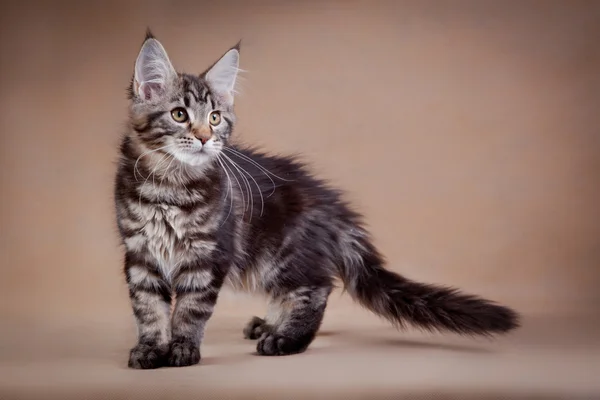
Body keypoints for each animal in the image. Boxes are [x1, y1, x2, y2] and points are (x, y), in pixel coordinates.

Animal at [115, 30, 516, 368]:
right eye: (179, 114)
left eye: (215, 118)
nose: (203, 137)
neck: (169, 188)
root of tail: (330, 204)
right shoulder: (140, 254)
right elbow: (148, 309)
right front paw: (150, 349)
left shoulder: (208, 256)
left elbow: (190, 310)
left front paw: (183, 349)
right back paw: (269, 325)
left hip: (280, 254)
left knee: (315, 289)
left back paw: (285, 339)